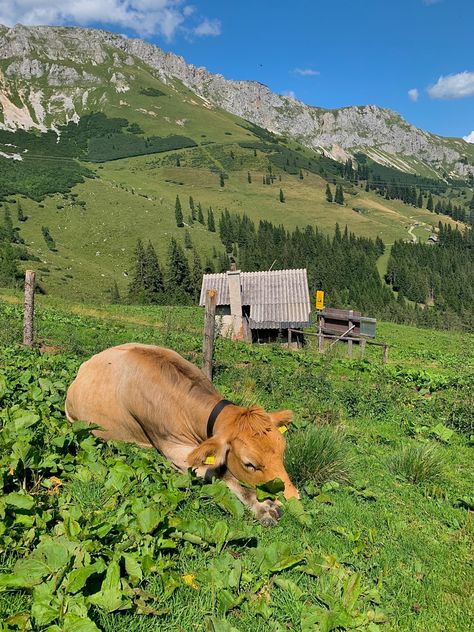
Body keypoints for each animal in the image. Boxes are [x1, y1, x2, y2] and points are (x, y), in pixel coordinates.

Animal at [65, 344, 298, 524]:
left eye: (283, 451)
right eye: (249, 464)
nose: (293, 497)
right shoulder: (175, 450)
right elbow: (223, 474)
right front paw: (265, 507)